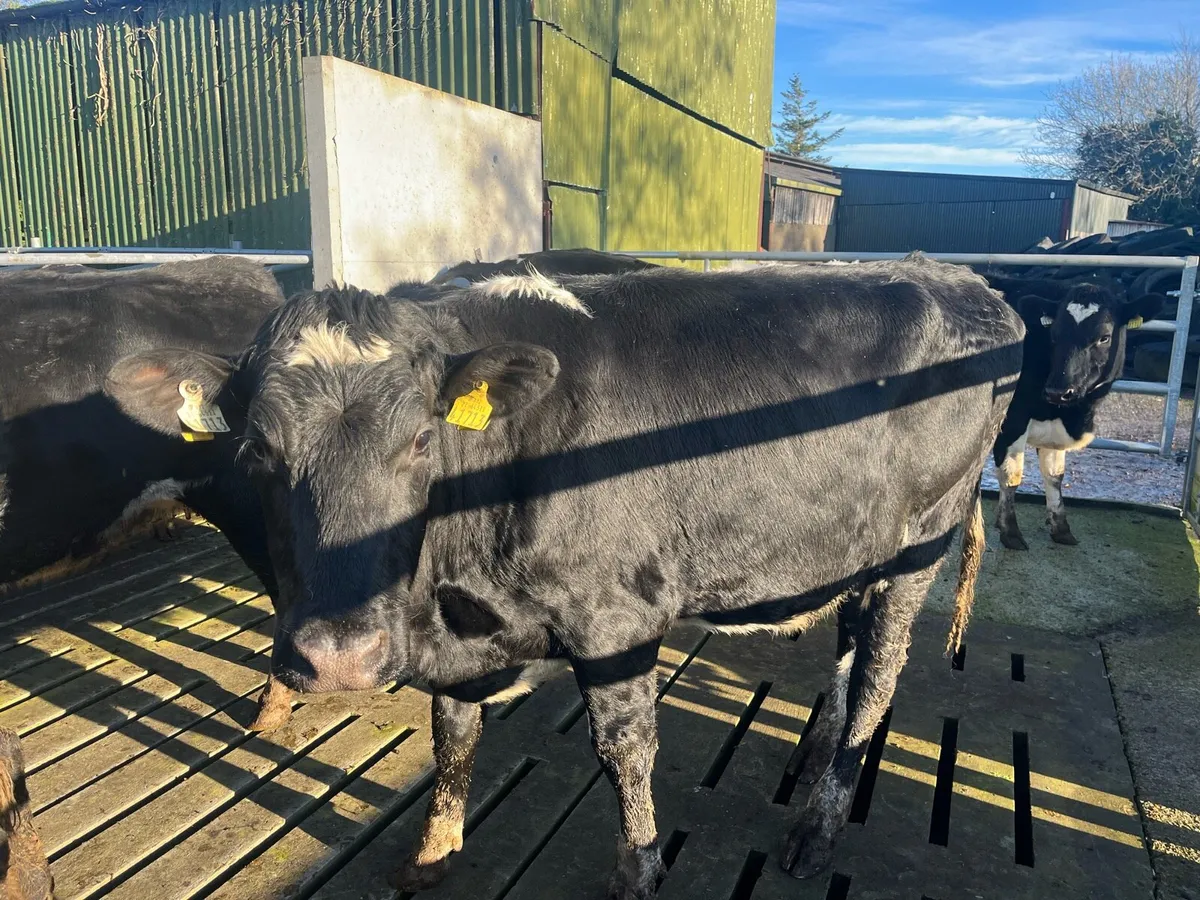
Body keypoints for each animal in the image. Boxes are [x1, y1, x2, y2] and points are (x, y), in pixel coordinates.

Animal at [107, 255, 1022, 896]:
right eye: (256, 450)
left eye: (420, 440)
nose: (337, 658)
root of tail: (958, 276)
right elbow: (452, 732)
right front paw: (434, 850)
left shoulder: (615, 617)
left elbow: (624, 749)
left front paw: (638, 870)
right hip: (852, 546)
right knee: (849, 651)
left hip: (921, 541)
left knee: (878, 671)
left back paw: (818, 830)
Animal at [982, 274, 1165, 549]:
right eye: (1055, 334)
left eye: (1104, 337)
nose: (1059, 391)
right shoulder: (1012, 422)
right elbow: (1011, 476)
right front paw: (1010, 532)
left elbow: (1055, 475)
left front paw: (1061, 528)